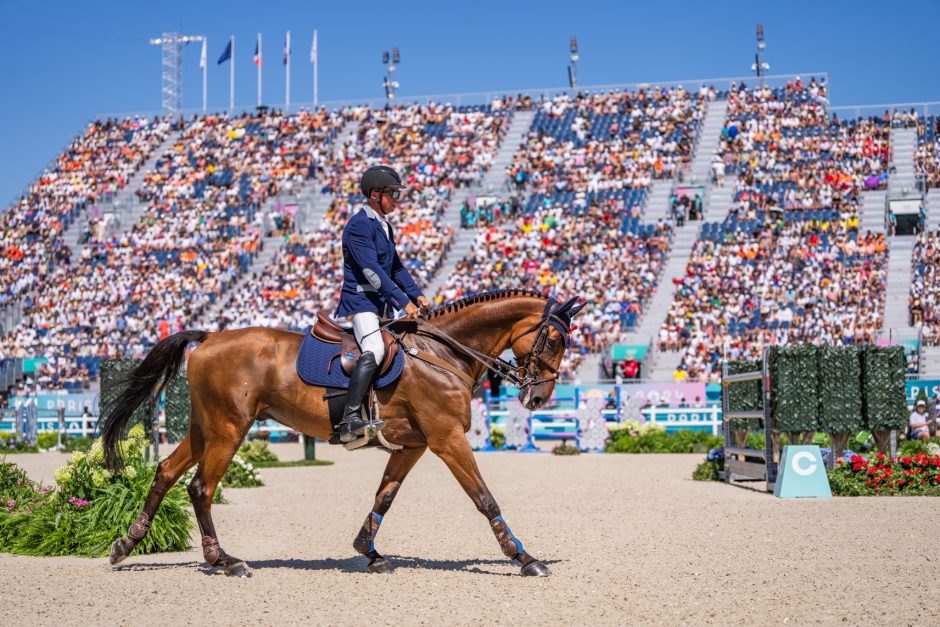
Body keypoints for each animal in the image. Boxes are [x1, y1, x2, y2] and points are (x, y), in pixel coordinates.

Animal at [104, 290, 588, 580]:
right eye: (554, 342)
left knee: (166, 472)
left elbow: (385, 496)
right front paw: (524, 557)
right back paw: (225, 560)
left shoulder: (414, 444)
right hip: (228, 429)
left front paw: (368, 551)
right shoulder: (447, 438)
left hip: (205, 428)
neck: (442, 352)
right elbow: (484, 498)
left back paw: (126, 544)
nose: (538, 397)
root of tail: (207, 339)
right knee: (201, 487)